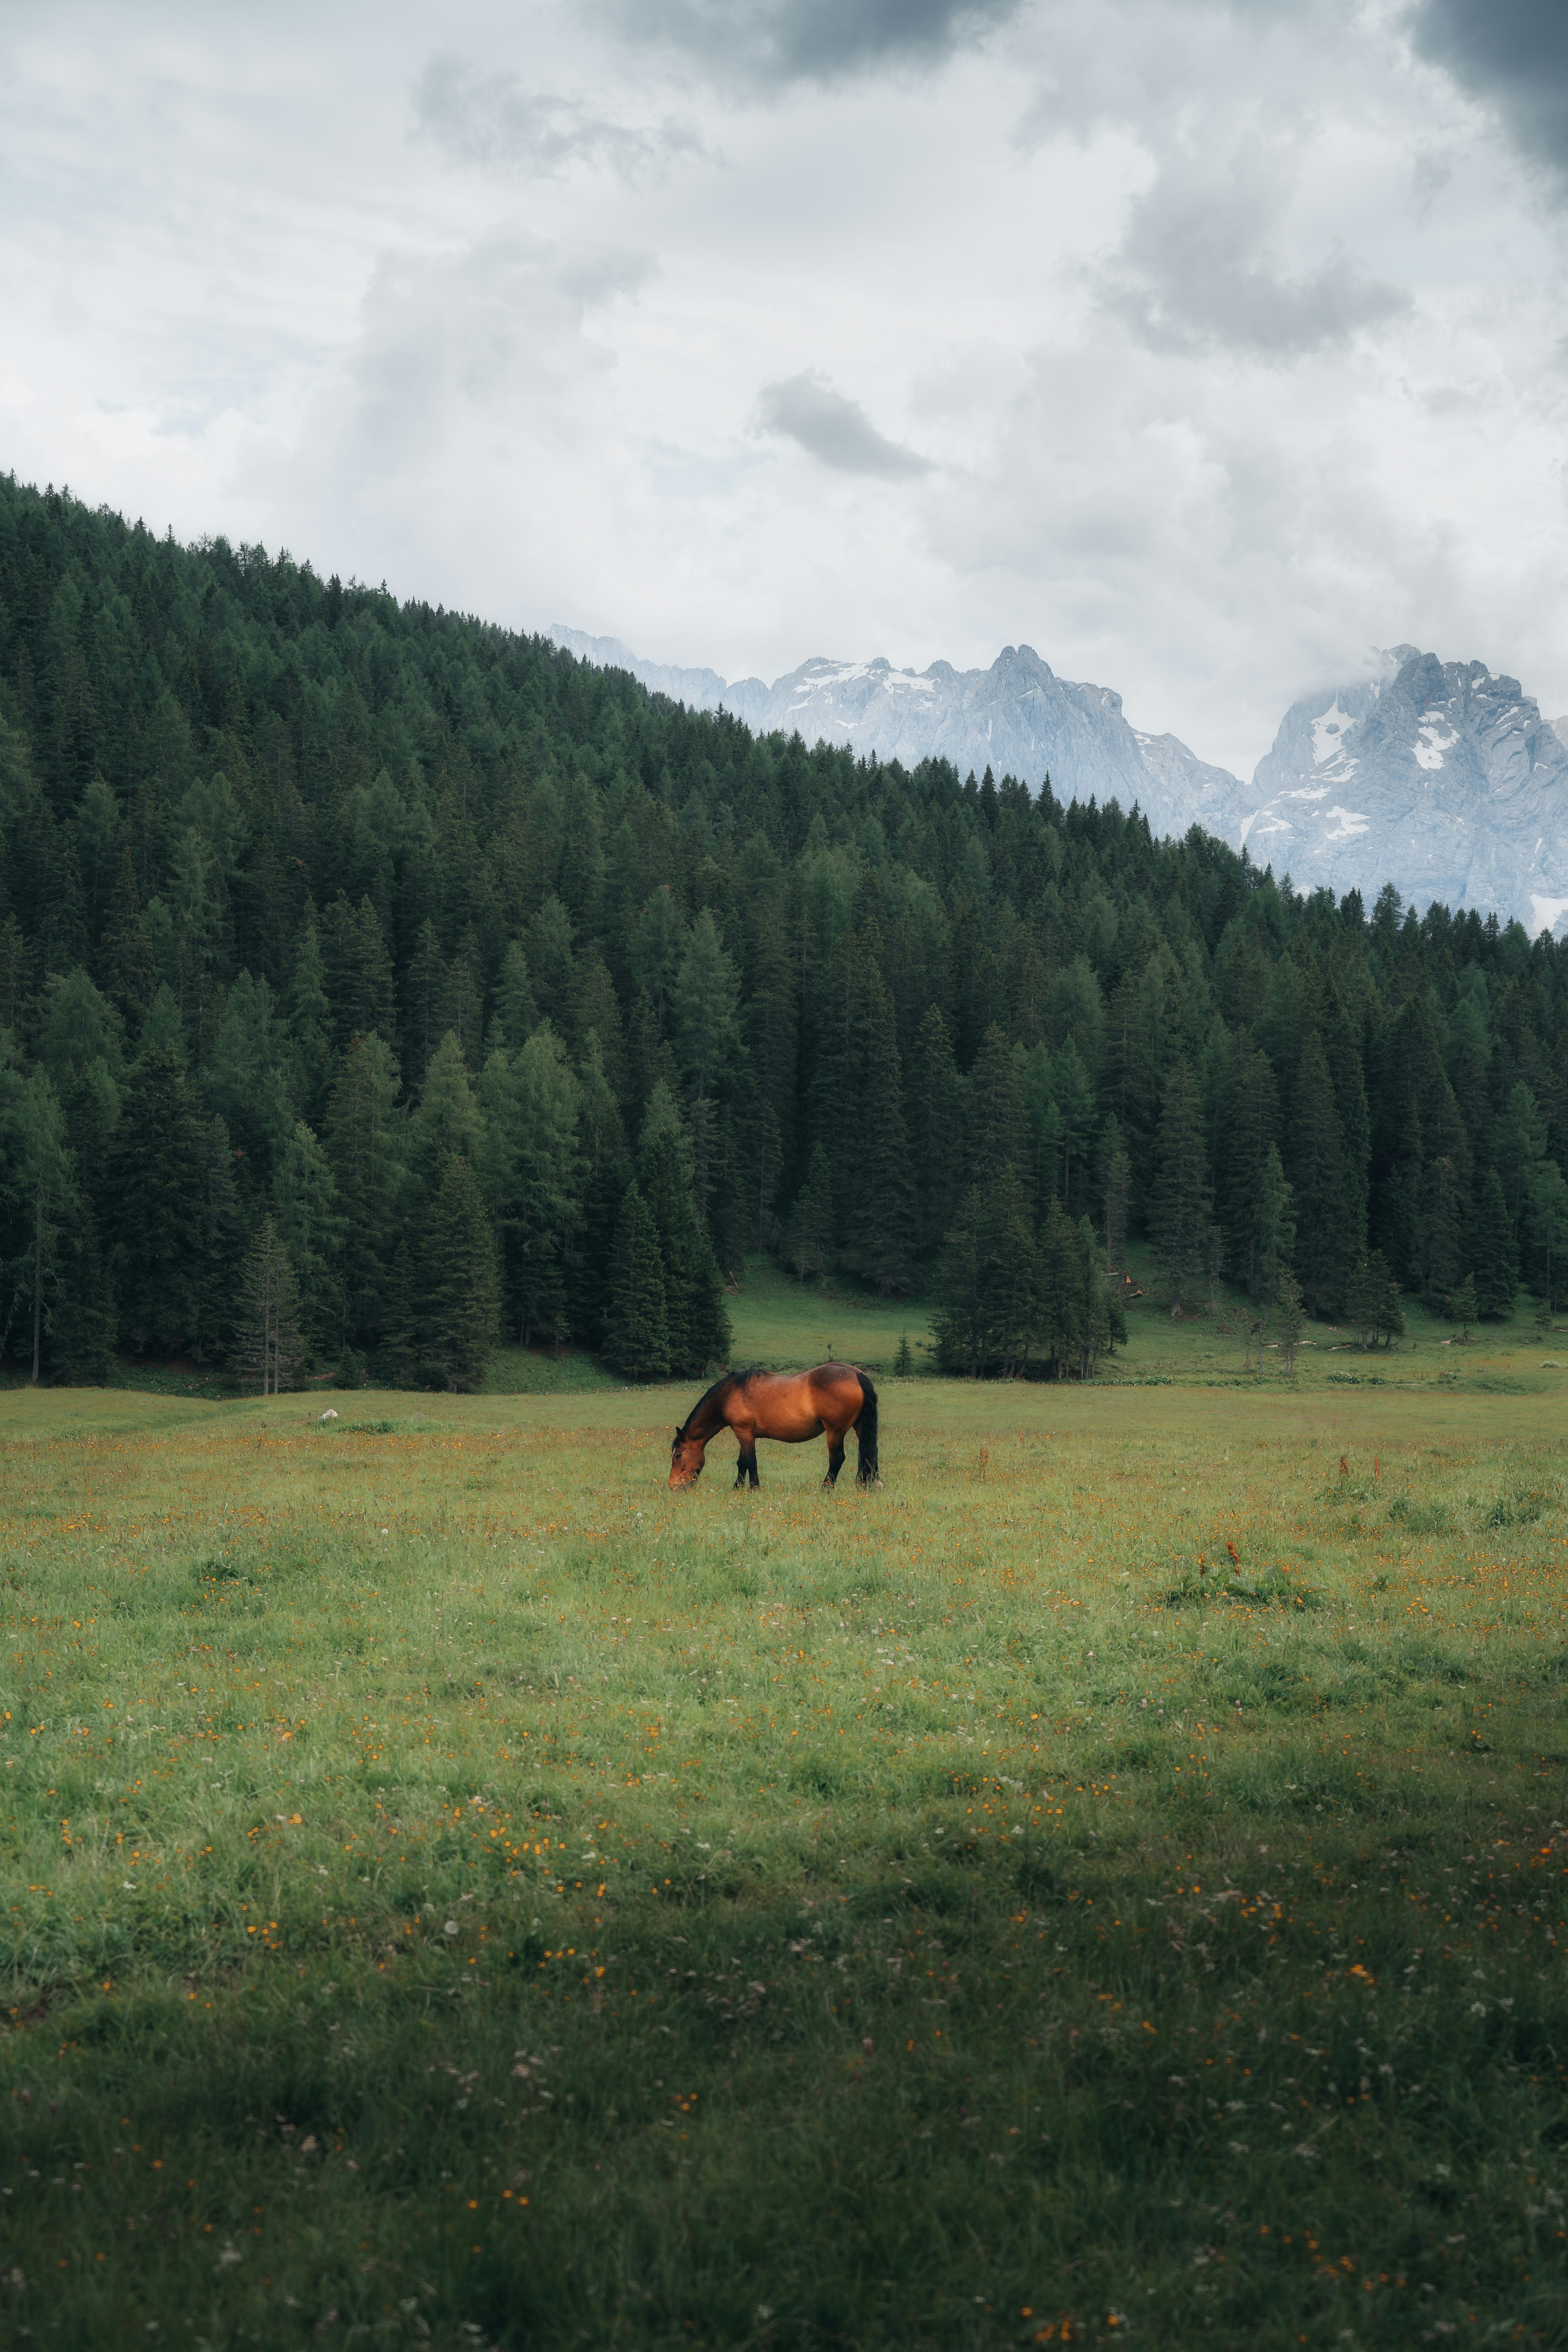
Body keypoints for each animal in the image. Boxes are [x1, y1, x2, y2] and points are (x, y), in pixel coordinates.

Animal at [669, 1363, 880, 1491]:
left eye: (679, 1455)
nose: (672, 1486)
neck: (730, 1393)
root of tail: (856, 1374)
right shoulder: (745, 1433)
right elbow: (742, 1462)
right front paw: (738, 1487)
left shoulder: (743, 1431)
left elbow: (750, 1461)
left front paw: (753, 1488)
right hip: (860, 1427)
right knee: (870, 1453)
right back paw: (871, 1485)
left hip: (835, 1431)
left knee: (837, 1458)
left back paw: (825, 1488)